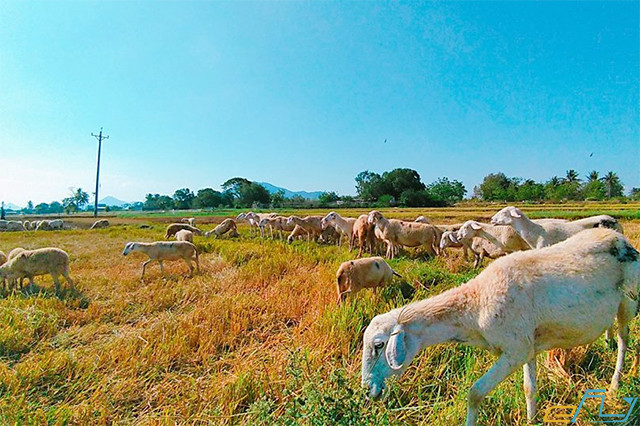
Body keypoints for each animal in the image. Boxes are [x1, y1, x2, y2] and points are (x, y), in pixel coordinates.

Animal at [362, 230, 636, 426]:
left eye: (379, 345)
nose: (367, 391)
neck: (474, 306)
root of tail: (619, 236)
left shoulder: (514, 351)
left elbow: (474, 393)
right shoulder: (528, 346)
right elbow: (529, 389)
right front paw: (531, 420)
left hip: (629, 302)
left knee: (624, 340)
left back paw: (615, 383)